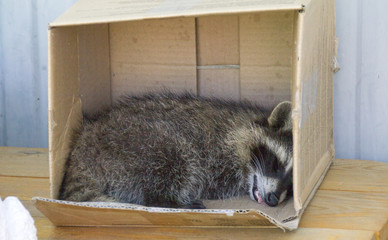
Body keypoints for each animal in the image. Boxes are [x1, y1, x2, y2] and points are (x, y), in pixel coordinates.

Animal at [59, 92, 292, 208]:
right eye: (276, 164)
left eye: (291, 186)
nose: (273, 200)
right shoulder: (217, 149)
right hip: (140, 144)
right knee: (176, 158)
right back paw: (167, 202)